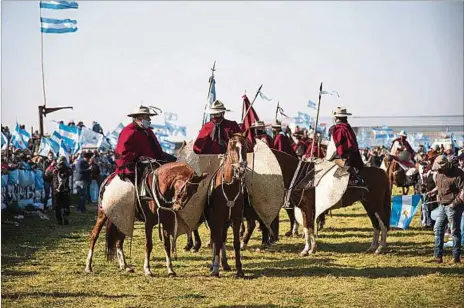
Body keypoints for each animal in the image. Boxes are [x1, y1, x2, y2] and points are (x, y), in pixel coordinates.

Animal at [207, 134, 248, 278]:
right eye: (231, 148)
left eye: (246, 147)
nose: (240, 171)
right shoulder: (217, 219)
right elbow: (217, 241)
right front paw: (215, 269)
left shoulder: (236, 219)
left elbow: (235, 243)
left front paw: (239, 269)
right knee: (217, 239)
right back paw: (214, 263)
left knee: (223, 238)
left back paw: (224, 263)